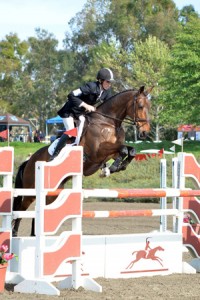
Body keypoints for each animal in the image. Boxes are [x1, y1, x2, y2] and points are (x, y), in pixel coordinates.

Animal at [12, 86, 152, 237]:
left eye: (149, 106)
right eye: (140, 106)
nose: (145, 132)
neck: (107, 122)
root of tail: (29, 161)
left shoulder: (111, 153)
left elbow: (130, 150)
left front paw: (114, 168)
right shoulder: (98, 151)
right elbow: (124, 149)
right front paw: (112, 168)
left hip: (53, 192)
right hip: (31, 190)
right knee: (21, 209)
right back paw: (14, 234)